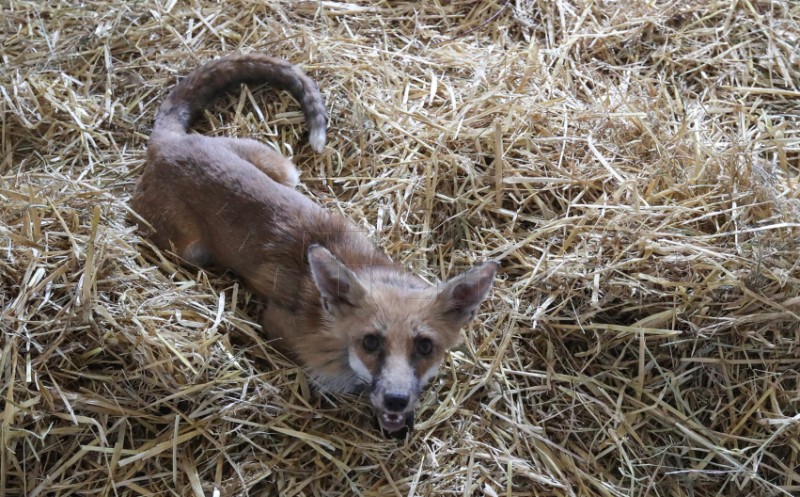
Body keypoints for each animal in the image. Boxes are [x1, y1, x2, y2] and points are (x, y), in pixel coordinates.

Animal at [136, 54, 500, 432]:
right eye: (371, 342)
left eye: (425, 347)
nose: (396, 400)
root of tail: (168, 143)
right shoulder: (278, 327)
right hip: (189, 250)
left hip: (285, 170)